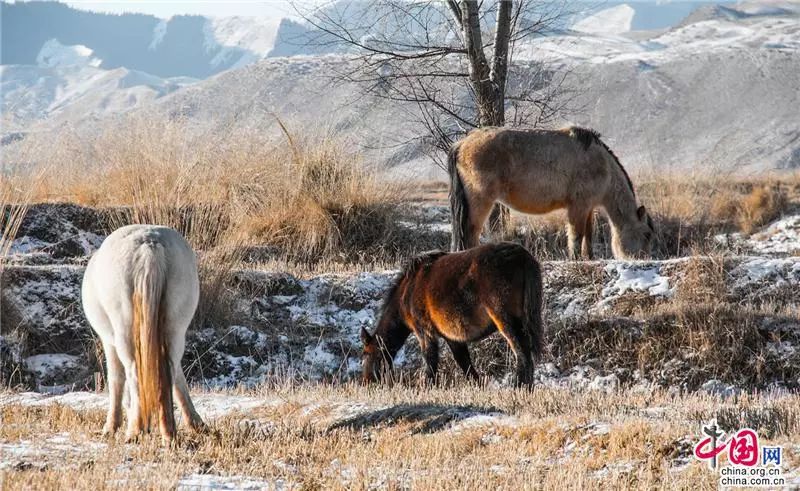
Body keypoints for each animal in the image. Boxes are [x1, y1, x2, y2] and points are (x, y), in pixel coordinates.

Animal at [82, 225, 203, 444]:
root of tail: (149, 243)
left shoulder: (109, 343)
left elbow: (116, 379)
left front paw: (110, 427)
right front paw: (195, 422)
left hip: (124, 333)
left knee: (133, 372)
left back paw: (134, 431)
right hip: (174, 329)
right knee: (169, 371)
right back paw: (168, 433)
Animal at [360, 244, 544, 386]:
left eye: (366, 353)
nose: (367, 381)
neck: (407, 291)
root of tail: (523, 256)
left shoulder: (425, 332)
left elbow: (430, 361)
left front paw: (428, 387)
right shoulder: (452, 337)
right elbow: (464, 362)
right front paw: (478, 385)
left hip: (506, 321)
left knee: (522, 353)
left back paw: (519, 387)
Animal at [446, 127, 652, 260]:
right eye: (647, 234)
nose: (643, 258)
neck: (603, 165)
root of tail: (461, 143)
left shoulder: (588, 208)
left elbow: (588, 235)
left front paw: (589, 258)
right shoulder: (578, 206)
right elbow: (576, 235)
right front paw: (575, 259)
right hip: (480, 202)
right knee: (470, 232)